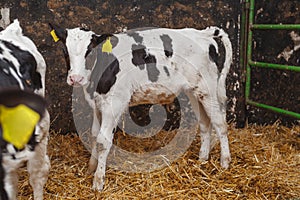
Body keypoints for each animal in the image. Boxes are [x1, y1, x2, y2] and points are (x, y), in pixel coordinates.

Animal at [49, 23, 232, 191]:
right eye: (65, 51)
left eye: (90, 51)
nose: (75, 78)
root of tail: (203, 33)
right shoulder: (97, 104)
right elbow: (94, 134)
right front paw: (91, 167)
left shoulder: (114, 104)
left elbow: (103, 141)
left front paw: (98, 181)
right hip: (194, 93)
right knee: (205, 123)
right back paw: (202, 159)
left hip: (209, 90)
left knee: (220, 123)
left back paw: (225, 162)